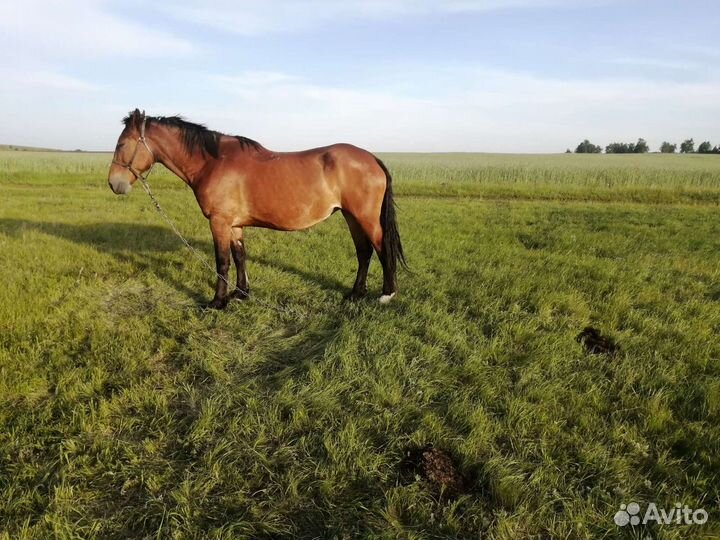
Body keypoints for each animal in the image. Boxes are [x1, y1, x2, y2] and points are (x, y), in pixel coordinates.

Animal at [109, 108, 408, 308]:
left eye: (122, 143)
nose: (114, 183)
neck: (213, 162)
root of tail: (371, 158)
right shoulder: (234, 224)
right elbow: (240, 256)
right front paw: (241, 294)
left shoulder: (219, 222)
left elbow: (222, 261)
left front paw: (217, 302)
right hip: (351, 216)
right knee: (364, 252)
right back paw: (356, 293)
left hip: (365, 217)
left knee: (381, 248)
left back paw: (386, 294)